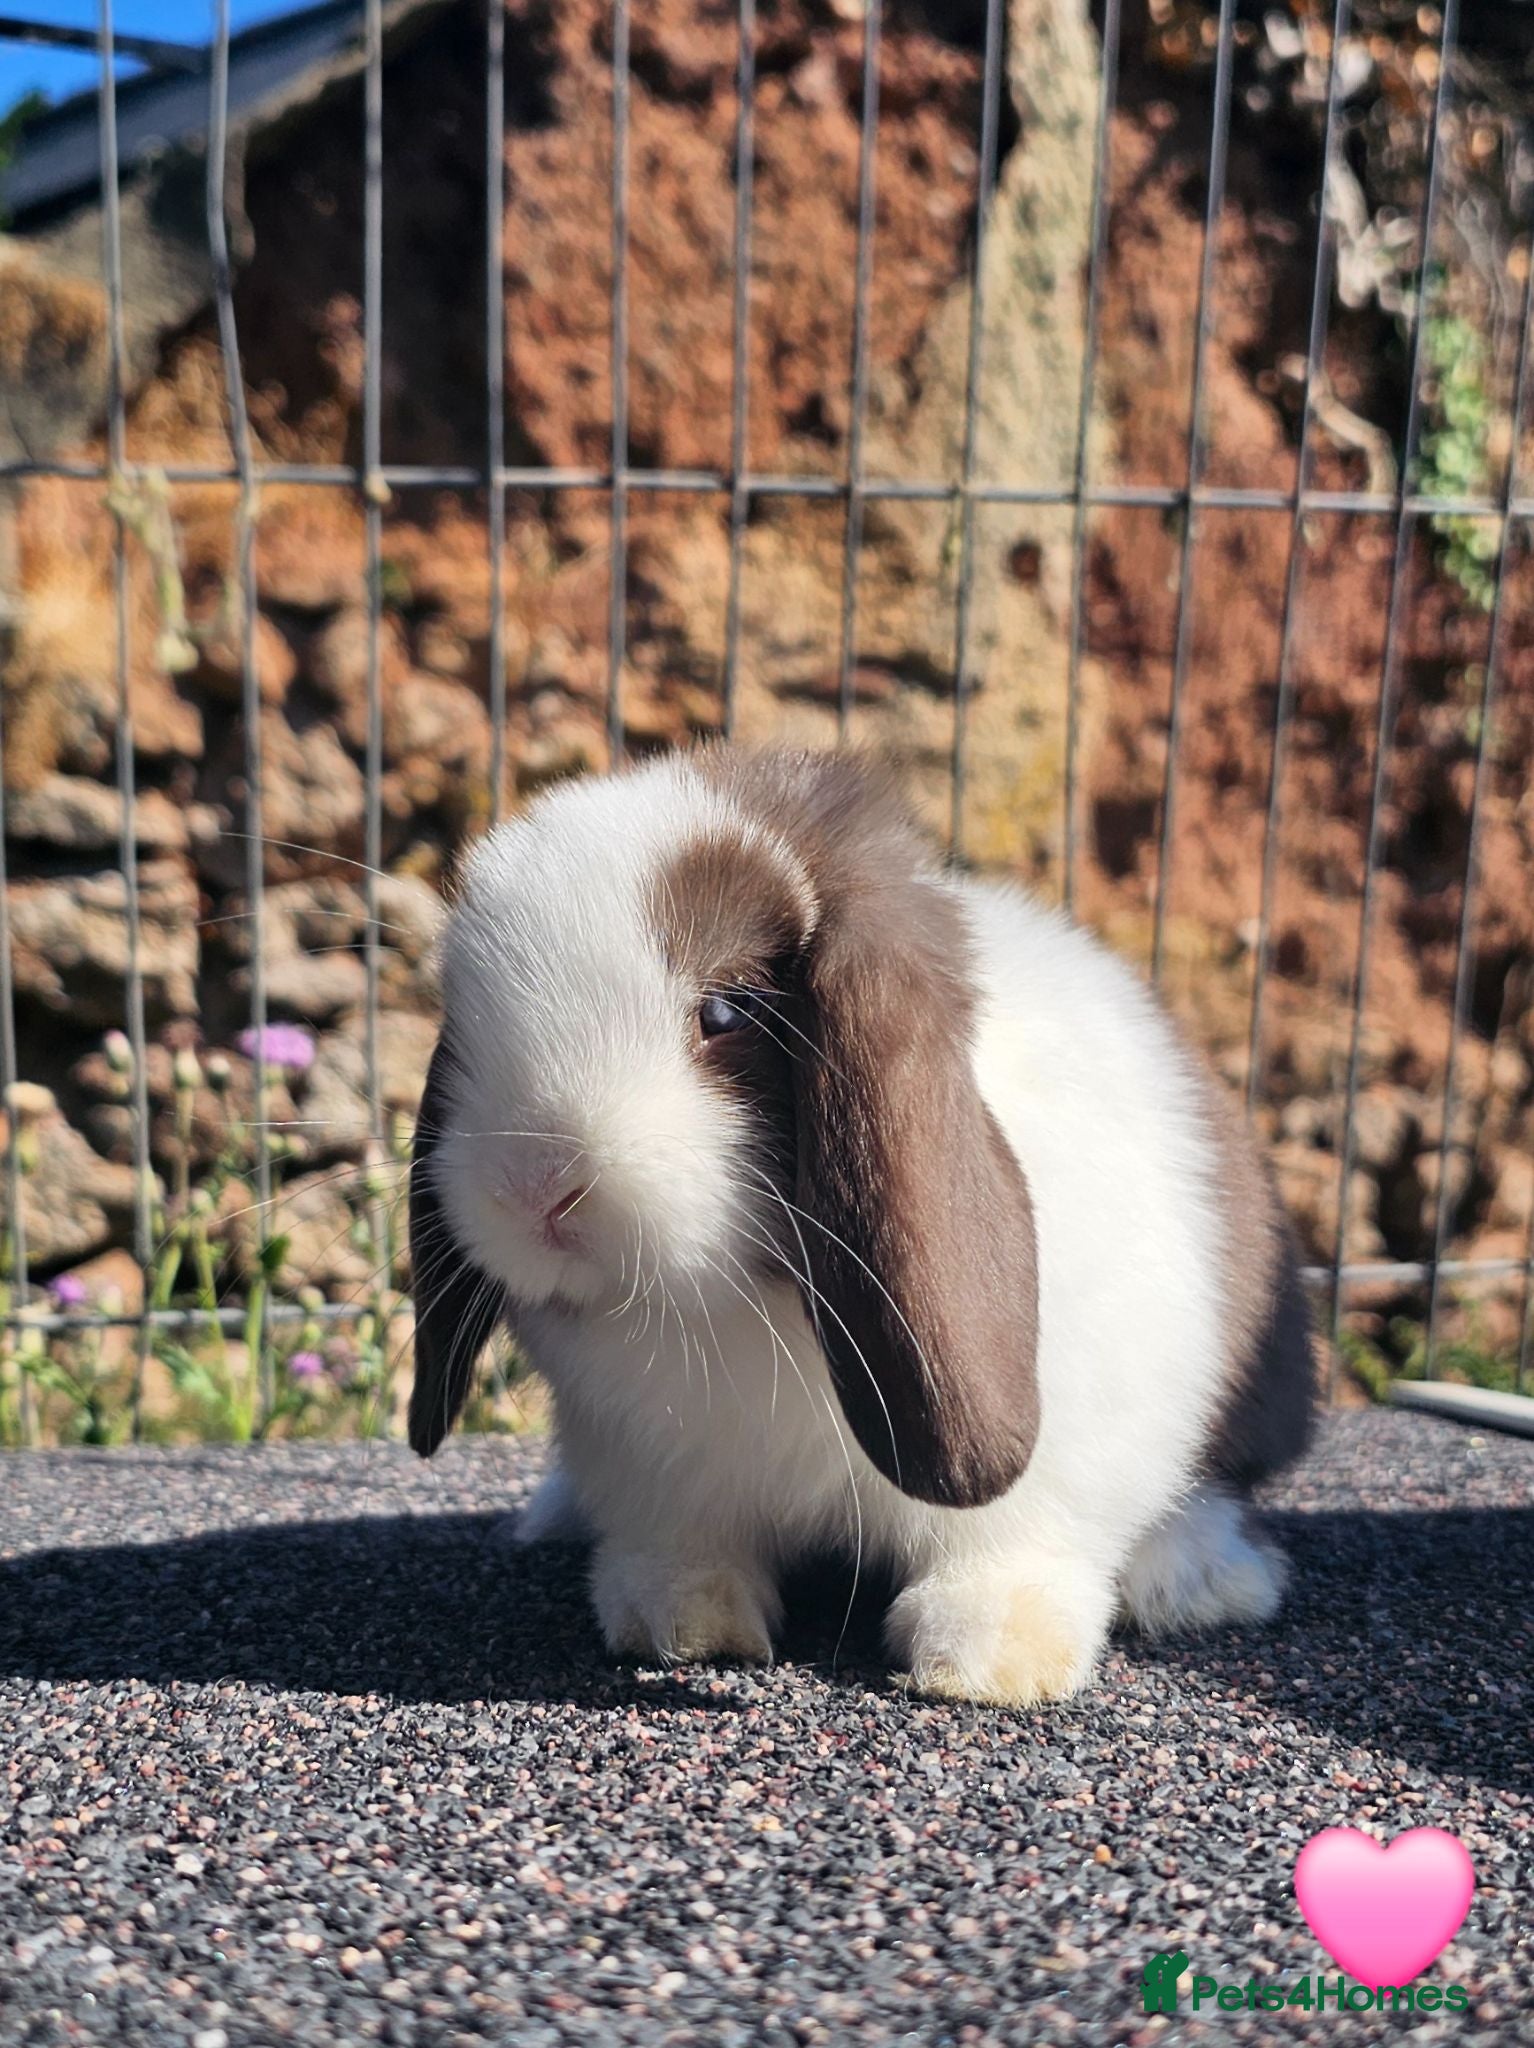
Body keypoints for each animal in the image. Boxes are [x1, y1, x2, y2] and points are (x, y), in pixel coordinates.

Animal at [407, 745, 1314, 1706]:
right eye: (462, 1030)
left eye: (726, 1014)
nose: (533, 1187)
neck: (736, 1305)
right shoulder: (652, 1468)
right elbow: (684, 1550)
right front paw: (681, 1625)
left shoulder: (1071, 1444)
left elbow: (1016, 1544)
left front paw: (987, 1658)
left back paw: (1204, 1582)